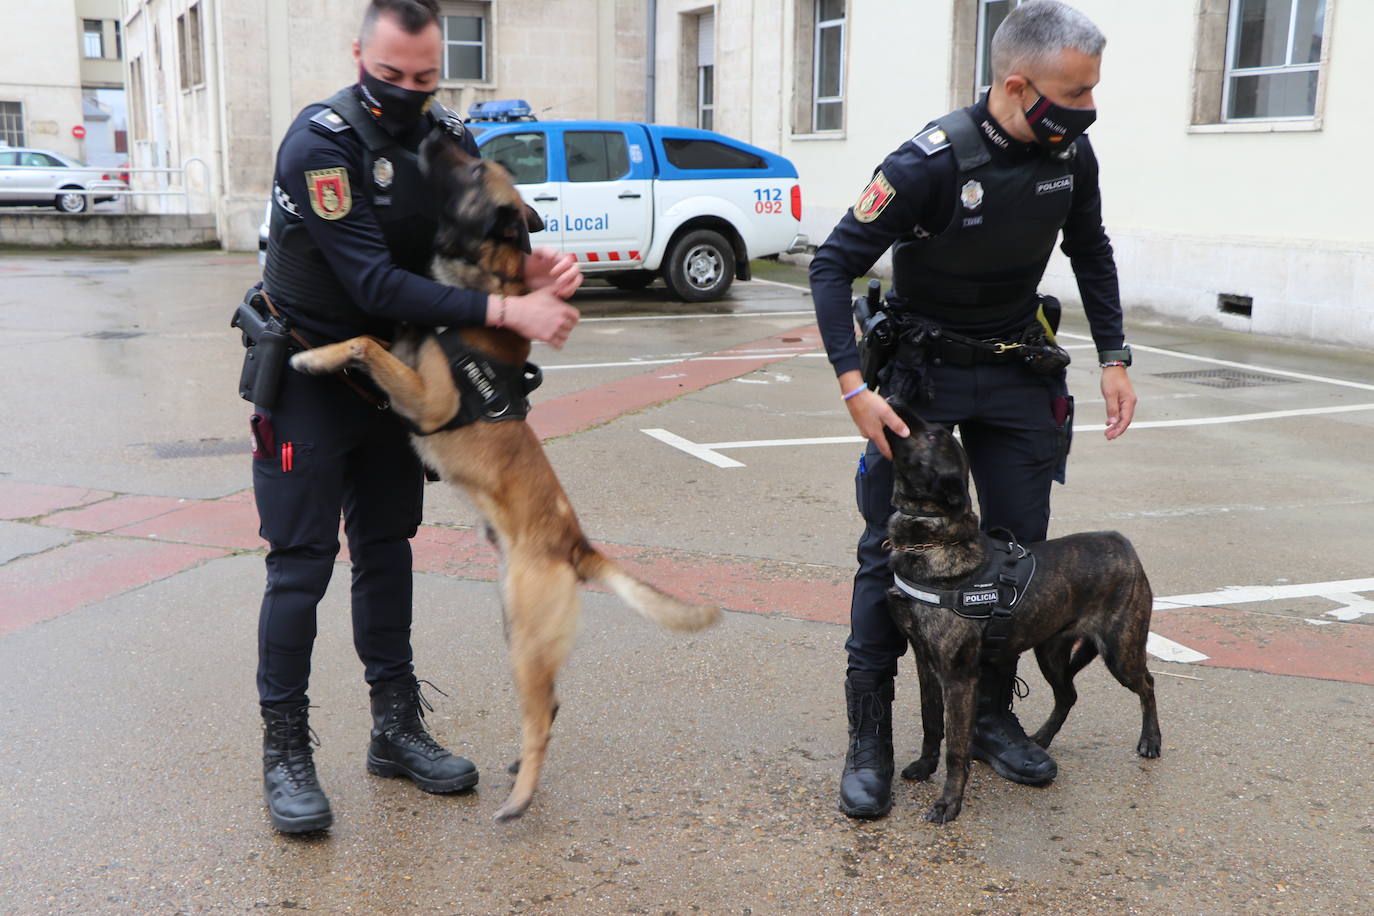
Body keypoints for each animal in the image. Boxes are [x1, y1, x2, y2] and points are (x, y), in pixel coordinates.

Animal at [289, 127, 719, 823]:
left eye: (472, 173)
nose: (438, 132)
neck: (485, 280)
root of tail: (577, 544)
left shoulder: (426, 400)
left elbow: (363, 340)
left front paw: (309, 356)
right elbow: (374, 335)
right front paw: (316, 349)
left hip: (525, 639)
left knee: (541, 715)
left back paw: (519, 798)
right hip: (516, 625)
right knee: (552, 705)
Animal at [879, 398, 1159, 823]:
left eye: (934, 435)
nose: (894, 400)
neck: (932, 542)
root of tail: (1125, 546)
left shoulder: (958, 677)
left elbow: (956, 747)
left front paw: (949, 802)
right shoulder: (925, 663)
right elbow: (931, 724)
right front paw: (925, 768)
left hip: (1120, 651)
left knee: (1147, 684)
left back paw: (1151, 740)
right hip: (1051, 652)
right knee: (1068, 695)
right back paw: (1040, 738)